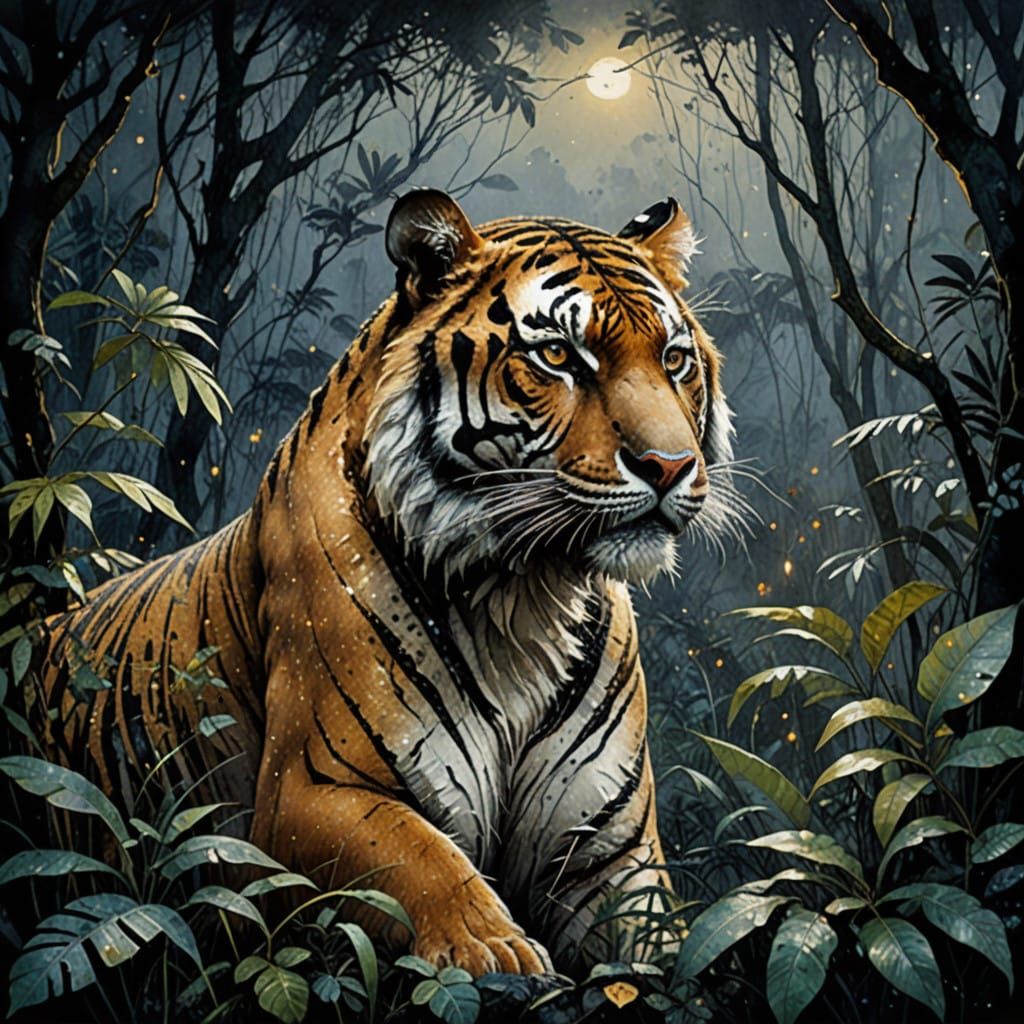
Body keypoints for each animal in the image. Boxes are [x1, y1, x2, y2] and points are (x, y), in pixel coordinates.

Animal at [38, 189, 740, 975]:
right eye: (558, 355)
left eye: (674, 360)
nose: (671, 466)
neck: (526, 594)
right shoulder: (311, 791)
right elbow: (423, 857)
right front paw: (495, 948)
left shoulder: (608, 844)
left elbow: (662, 940)